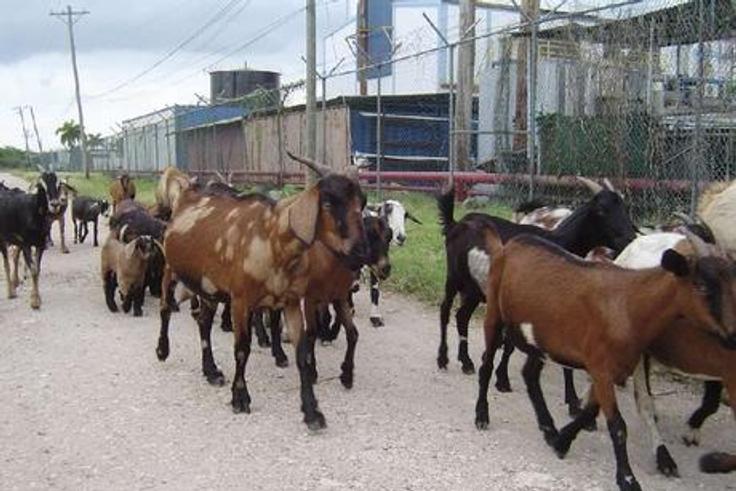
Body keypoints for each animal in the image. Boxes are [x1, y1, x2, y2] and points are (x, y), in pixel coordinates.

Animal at [155, 152, 368, 430]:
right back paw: (162, 350)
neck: (272, 240)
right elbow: (242, 349)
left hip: (209, 286)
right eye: (329, 203)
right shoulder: (240, 300)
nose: (361, 252)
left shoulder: (290, 301)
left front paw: (312, 411)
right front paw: (240, 398)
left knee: (203, 323)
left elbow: (302, 354)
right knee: (165, 308)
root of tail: (186, 193)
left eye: (362, 202)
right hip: (170, 269)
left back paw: (211, 372)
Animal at [437, 178, 637, 417]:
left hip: (474, 288)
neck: (560, 241)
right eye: (601, 210)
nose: (630, 237)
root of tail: (456, 223)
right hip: (454, 276)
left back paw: (466, 362)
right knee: (445, 310)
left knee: (462, 316)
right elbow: (511, 344)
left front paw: (571, 400)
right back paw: (443, 359)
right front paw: (503, 380)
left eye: (624, 207)